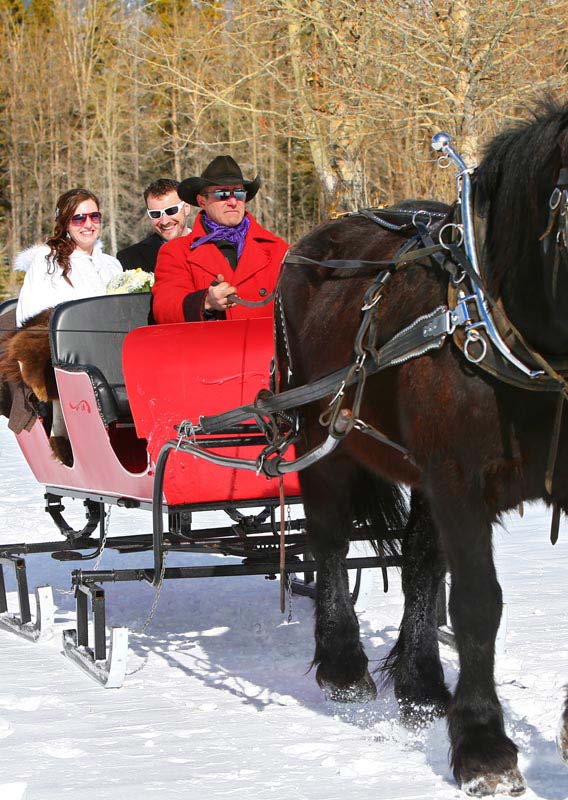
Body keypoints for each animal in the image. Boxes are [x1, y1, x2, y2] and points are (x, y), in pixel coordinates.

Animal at [278, 100, 568, 792]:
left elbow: (436, 580)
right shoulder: (459, 481)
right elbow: (476, 604)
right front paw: (484, 747)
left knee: (418, 564)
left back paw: (422, 684)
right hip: (323, 440)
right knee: (329, 541)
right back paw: (343, 664)